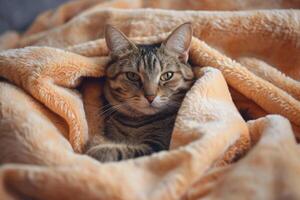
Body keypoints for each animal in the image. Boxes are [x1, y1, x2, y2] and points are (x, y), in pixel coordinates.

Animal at [85, 22, 196, 162]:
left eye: (167, 75)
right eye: (132, 76)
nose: (150, 97)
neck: (136, 122)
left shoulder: (159, 146)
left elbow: (125, 151)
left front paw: (98, 147)